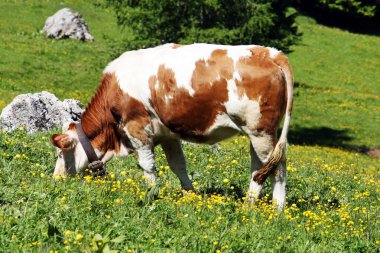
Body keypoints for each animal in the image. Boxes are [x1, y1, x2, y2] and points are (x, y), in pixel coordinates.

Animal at [51, 43, 294, 210]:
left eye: (60, 154)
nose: (56, 180)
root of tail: (269, 53)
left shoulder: (137, 127)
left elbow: (147, 166)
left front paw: (149, 195)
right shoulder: (168, 135)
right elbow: (178, 166)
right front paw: (190, 195)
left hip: (260, 132)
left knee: (277, 166)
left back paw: (274, 209)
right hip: (258, 133)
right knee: (260, 166)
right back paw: (252, 203)